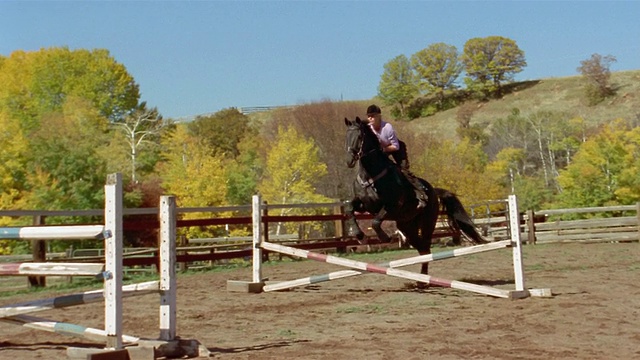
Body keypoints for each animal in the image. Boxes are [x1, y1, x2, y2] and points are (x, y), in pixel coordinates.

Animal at [344, 116, 484, 282]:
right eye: (346, 137)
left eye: (359, 137)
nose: (349, 160)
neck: (370, 176)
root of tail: (434, 191)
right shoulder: (365, 205)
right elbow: (349, 208)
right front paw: (360, 236)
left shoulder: (391, 206)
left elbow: (376, 222)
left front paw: (385, 237)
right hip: (407, 226)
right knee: (422, 249)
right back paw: (421, 280)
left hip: (427, 224)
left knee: (426, 248)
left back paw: (424, 279)